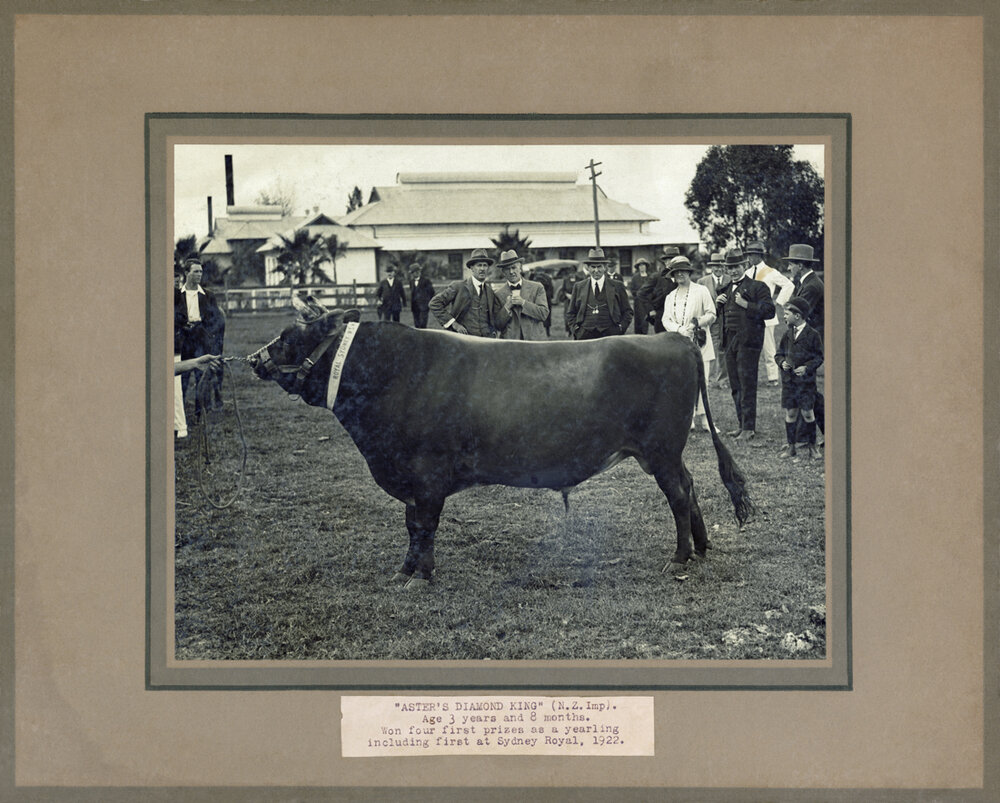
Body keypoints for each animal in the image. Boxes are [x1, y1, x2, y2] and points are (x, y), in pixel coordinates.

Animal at [247, 296, 753, 588]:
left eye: (289, 337)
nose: (254, 360)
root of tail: (674, 338)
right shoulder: (412, 479)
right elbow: (412, 526)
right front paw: (407, 570)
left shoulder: (425, 475)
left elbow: (422, 526)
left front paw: (419, 576)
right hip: (663, 454)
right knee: (690, 489)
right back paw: (701, 549)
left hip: (660, 451)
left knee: (679, 495)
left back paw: (680, 559)